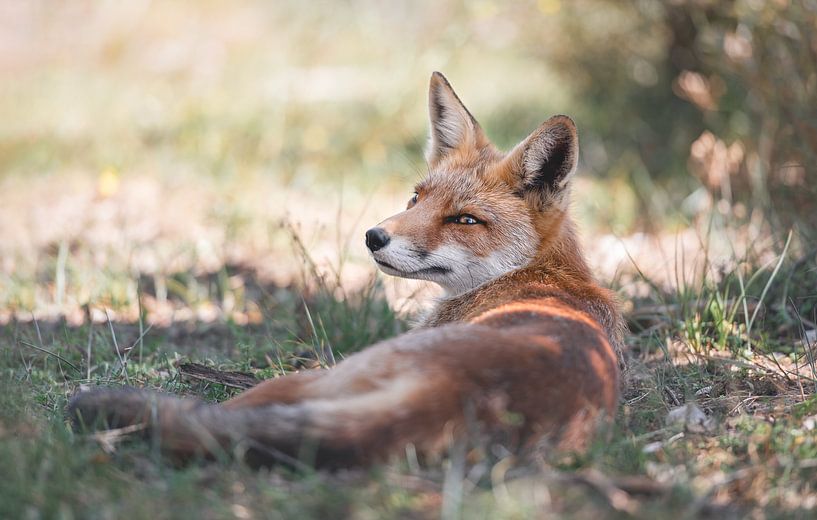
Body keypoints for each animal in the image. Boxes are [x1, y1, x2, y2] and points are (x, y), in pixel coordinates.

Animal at [68, 72, 625, 469]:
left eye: (465, 220)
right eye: (416, 198)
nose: (374, 236)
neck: (545, 276)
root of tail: (462, 393)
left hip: (316, 379)